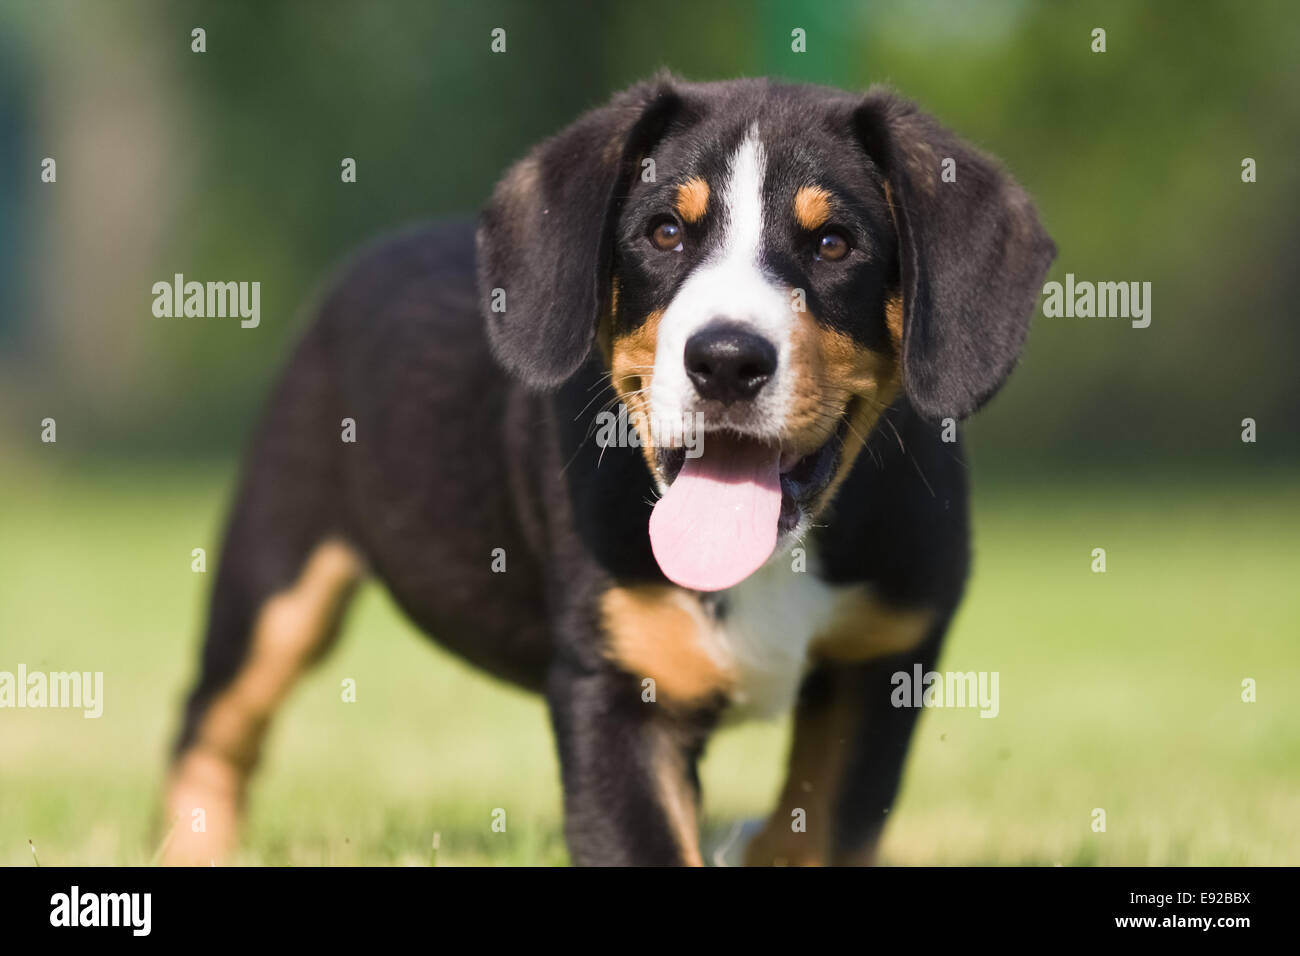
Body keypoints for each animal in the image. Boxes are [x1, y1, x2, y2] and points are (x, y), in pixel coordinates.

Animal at [162, 74, 1055, 868]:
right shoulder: (614, 688)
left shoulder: (885, 664)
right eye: (664, 234)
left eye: (834, 244)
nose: (725, 360)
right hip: (277, 572)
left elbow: (817, 832)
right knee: (213, 722)